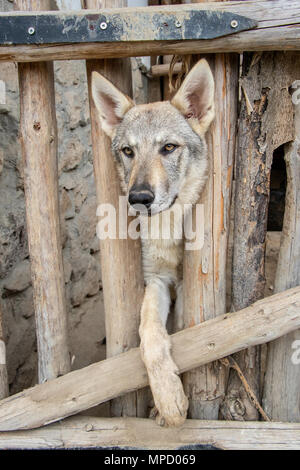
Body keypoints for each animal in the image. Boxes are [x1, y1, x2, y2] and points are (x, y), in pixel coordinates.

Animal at [92, 58, 214, 426]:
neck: (166, 229)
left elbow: (185, 334)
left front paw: (167, 406)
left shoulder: (187, 285)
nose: (140, 198)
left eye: (168, 147)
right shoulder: (156, 280)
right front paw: (167, 399)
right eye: (128, 151)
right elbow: (150, 335)